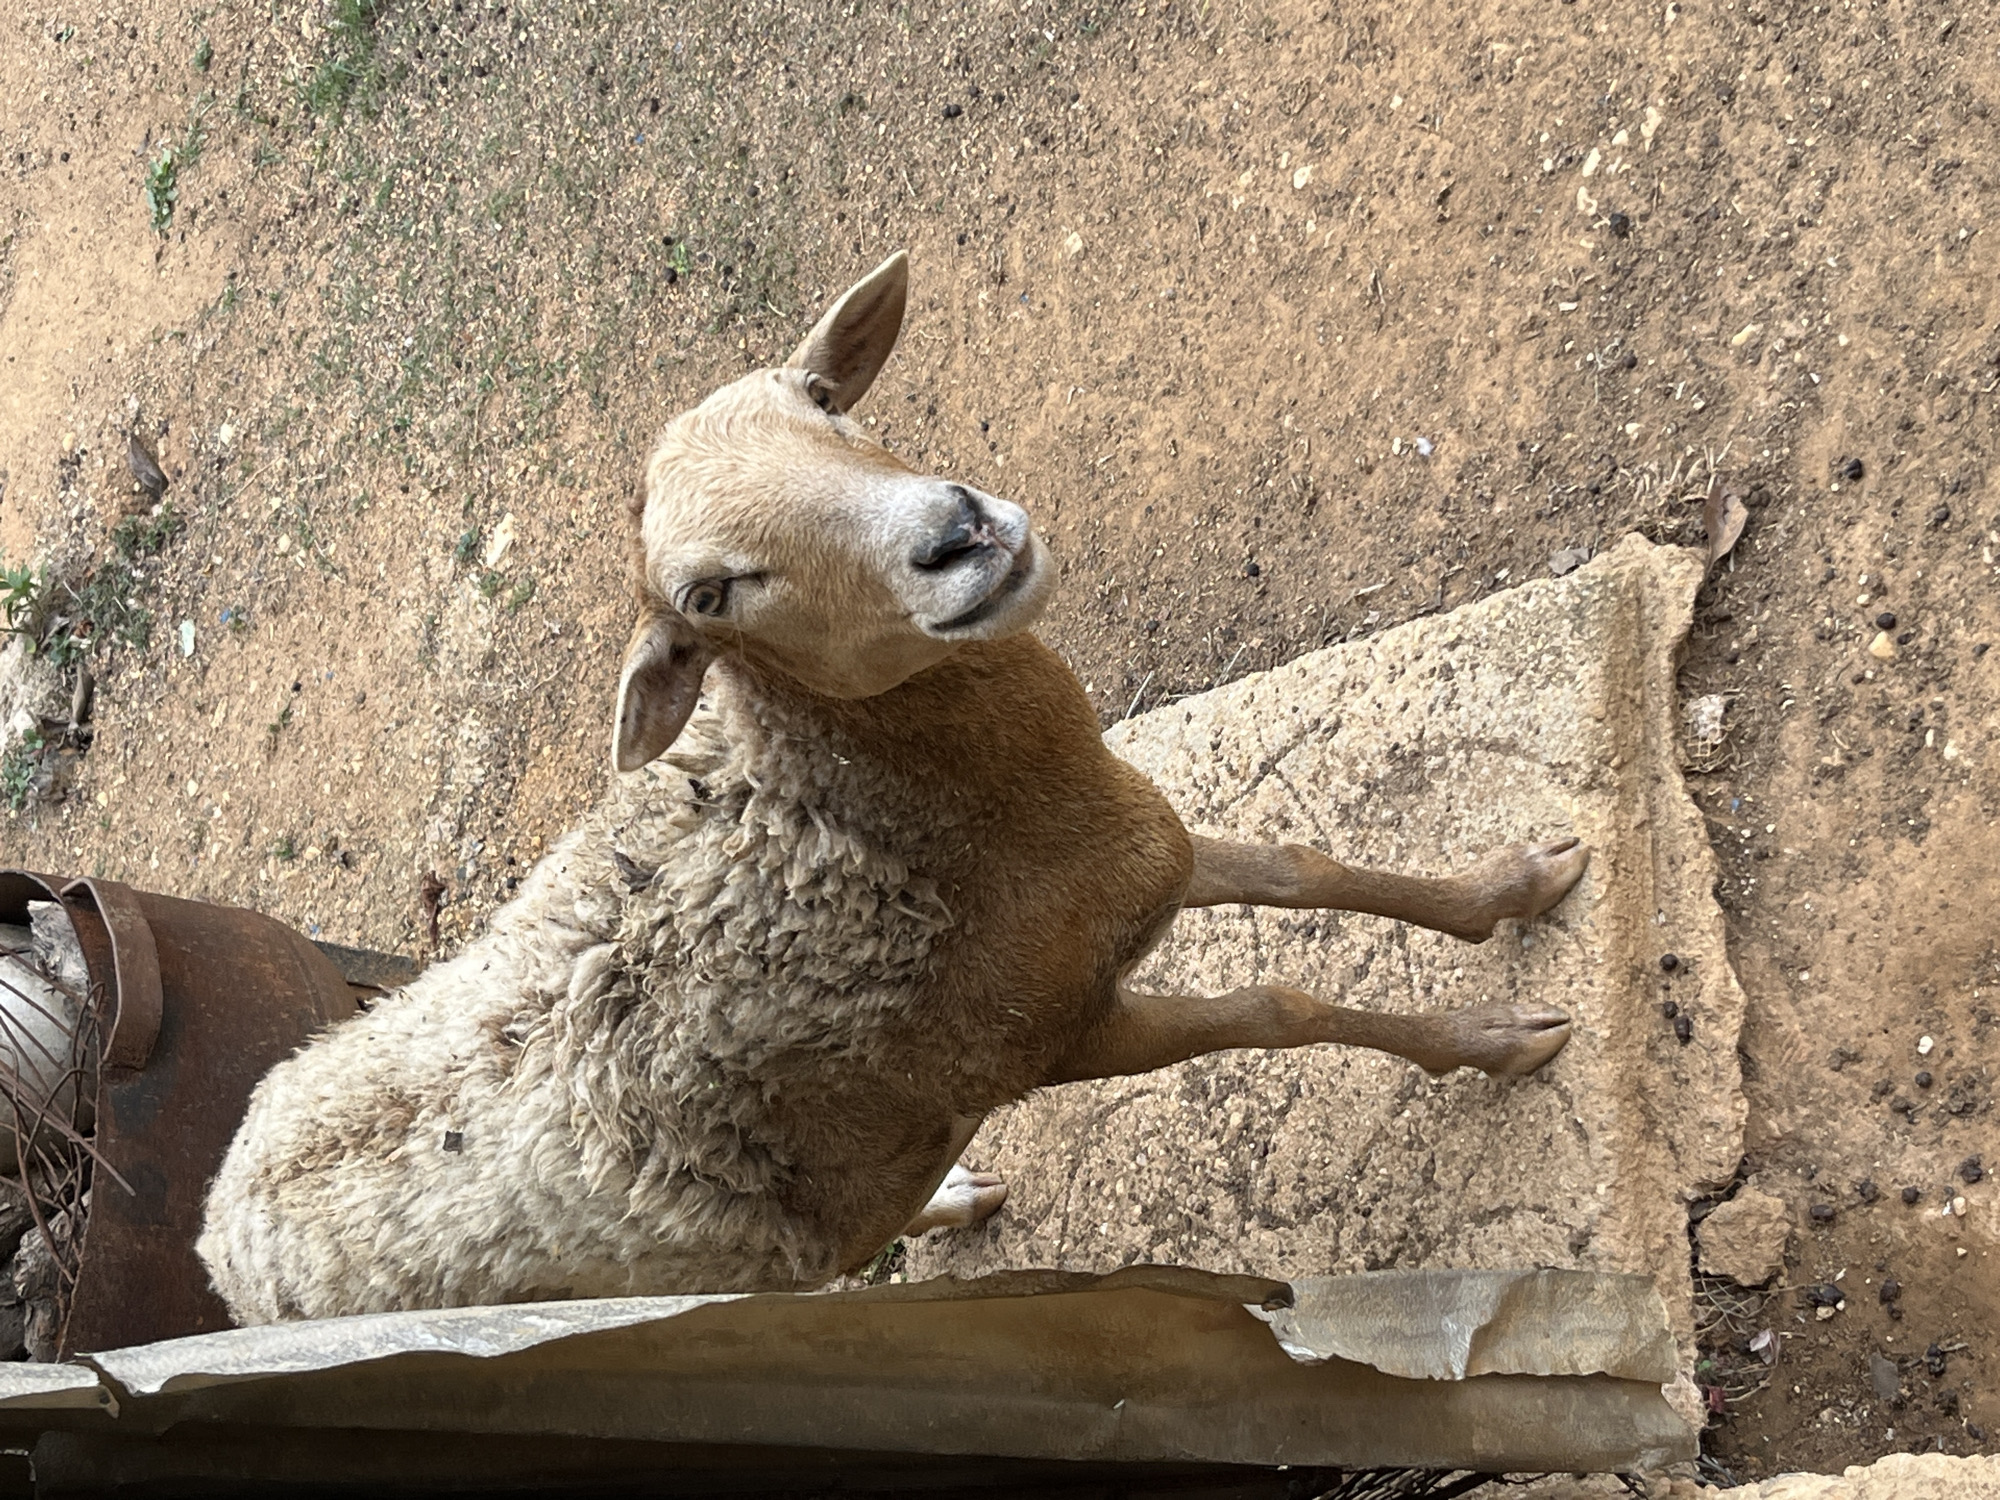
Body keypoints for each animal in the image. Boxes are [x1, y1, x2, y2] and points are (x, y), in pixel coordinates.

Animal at [198, 253, 1587, 1323]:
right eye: (710, 592)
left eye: (824, 400)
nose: (958, 532)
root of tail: (220, 1222)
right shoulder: (1047, 1039)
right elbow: (1278, 1007)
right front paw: (1498, 1043)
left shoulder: (1136, 855)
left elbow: (1306, 868)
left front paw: (1519, 886)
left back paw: (960, 1192)